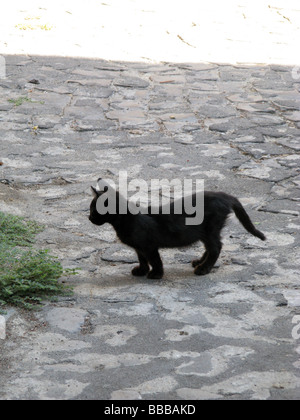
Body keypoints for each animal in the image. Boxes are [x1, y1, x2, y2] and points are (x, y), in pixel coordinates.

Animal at [89, 185, 264, 278]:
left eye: (93, 209)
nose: (89, 217)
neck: (127, 218)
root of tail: (224, 195)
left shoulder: (149, 246)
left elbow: (154, 260)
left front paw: (156, 274)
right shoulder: (139, 247)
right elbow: (142, 259)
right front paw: (142, 270)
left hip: (210, 230)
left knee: (216, 247)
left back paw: (203, 269)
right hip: (205, 233)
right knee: (210, 247)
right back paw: (199, 262)